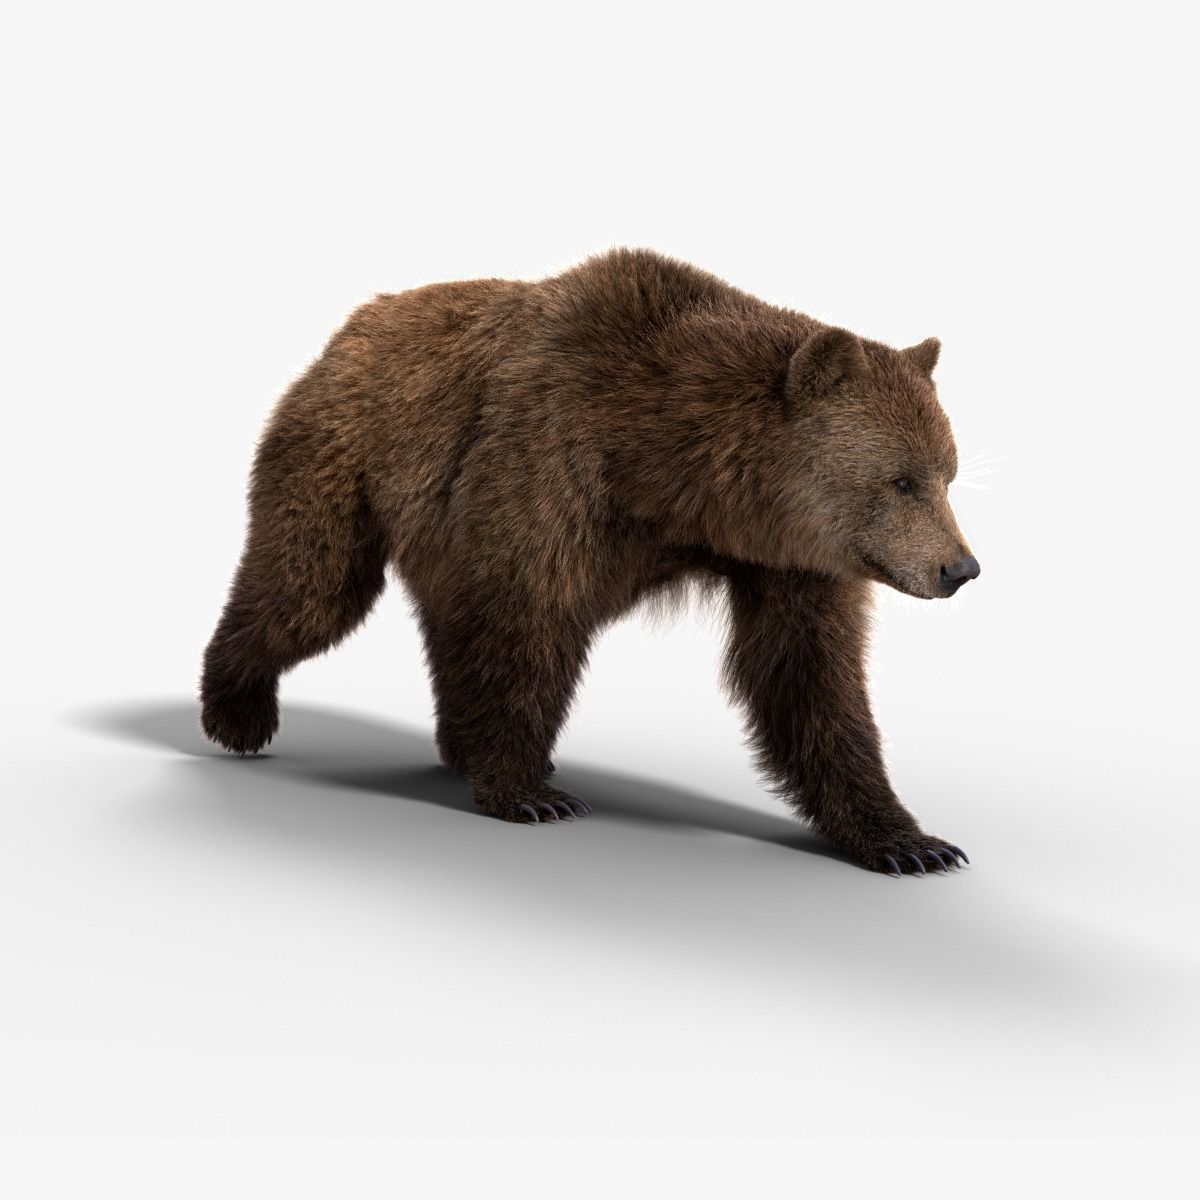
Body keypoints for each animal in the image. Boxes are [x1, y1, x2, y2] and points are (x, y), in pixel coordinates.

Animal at [200, 248, 979, 876]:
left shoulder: (793, 557)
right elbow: (524, 622)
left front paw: (912, 843)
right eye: (902, 480)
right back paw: (237, 712)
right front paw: (530, 794)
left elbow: (809, 676)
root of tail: (355, 322)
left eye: (948, 474)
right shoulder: (548, 463)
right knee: (311, 588)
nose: (960, 568)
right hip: (347, 453)